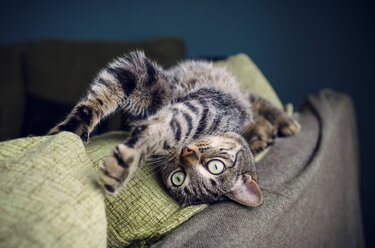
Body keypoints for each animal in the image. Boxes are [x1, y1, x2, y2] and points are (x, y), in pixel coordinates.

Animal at [49, 51, 302, 207]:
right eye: (216, 166)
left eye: (178, 179)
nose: (186, 153)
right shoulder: (145, 76)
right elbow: (99, 98)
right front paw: (69, 130)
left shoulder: (198, 105)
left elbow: (165, 126)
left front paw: (125, 162)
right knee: (259, 102)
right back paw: (282, 124)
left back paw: (273, 130)